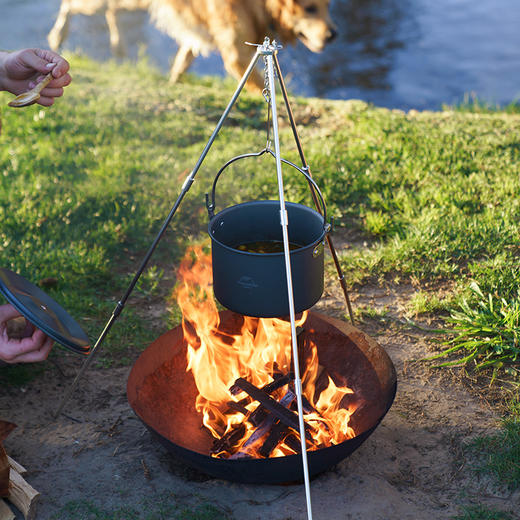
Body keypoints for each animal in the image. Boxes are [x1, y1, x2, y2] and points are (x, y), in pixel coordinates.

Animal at [46, 0, 336, 90]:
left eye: (327, 6)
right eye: (310, 8)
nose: (333, 35)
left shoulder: (191, 42)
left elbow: (180, 66)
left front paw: (173, 83)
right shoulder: (237, 56)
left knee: (111, 12)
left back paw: (118, 46)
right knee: (71, 6)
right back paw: (58, 34)